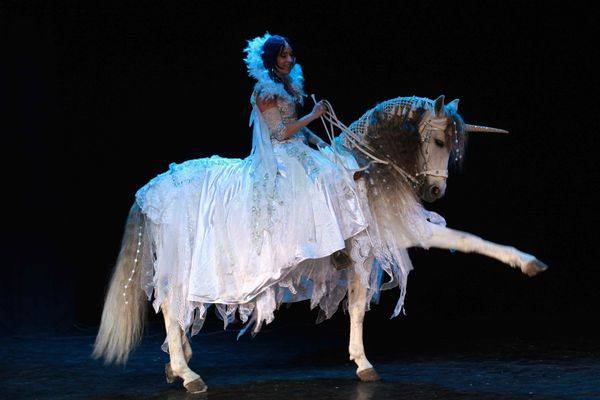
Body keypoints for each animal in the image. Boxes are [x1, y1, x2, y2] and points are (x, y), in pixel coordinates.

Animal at [91, 94, 548, 394]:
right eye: (437, 142)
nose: (435, 192)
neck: (364, 169)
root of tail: (150, 189)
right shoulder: (384, 240)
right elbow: (460, 243)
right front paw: (526, 262)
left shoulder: (374, 248)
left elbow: (362, 304)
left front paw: (360, 361)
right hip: (181, 261)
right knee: (171, 307)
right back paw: (187, 374)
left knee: (175, 309)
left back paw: (178, 362)